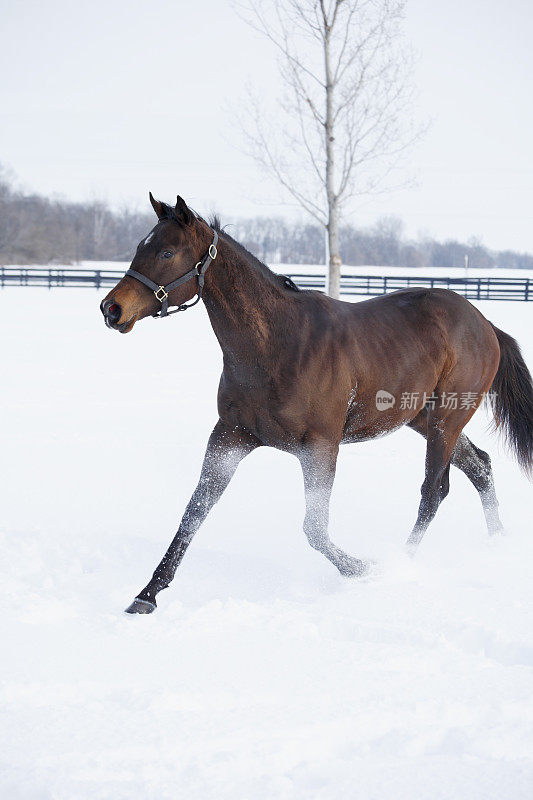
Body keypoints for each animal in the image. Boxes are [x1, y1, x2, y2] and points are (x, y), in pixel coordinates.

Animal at [100, 192, 532, 612]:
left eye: (167, 253)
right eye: (140, 246)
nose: (111, 309)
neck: (278, 345)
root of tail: (485, 325)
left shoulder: (321, 446)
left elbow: (315, 528)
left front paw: (360, 568)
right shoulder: (230, 436)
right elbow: (195, 511)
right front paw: (148, 594)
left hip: (447, 419)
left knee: (434, 492)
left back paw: (399, 563)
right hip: (424, 420)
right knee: (480, 468)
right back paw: (496, 541)